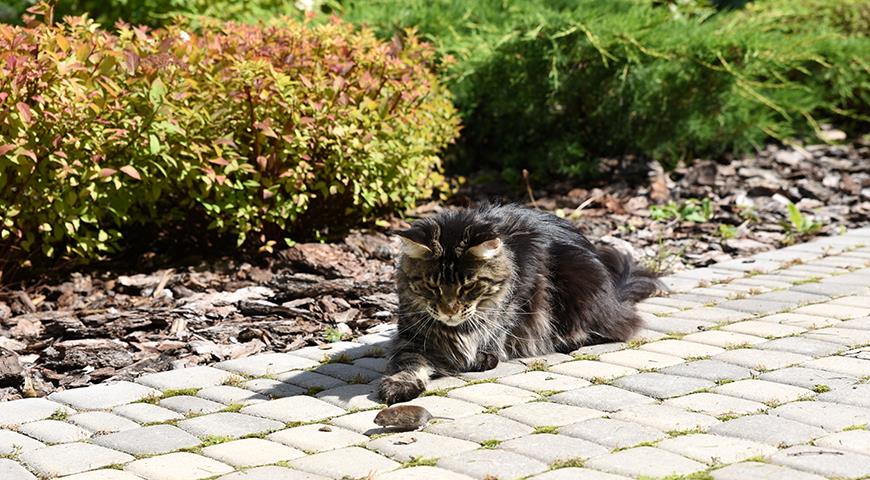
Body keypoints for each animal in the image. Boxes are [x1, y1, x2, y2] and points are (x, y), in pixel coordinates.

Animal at [380, 203, 660, 404]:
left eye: (468, 286)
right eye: (432, 286)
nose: (449, 312)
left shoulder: (497, 331)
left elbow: (481, 354)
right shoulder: (412, 339)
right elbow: (411, 363)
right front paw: (399, 385)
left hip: (580, 281)